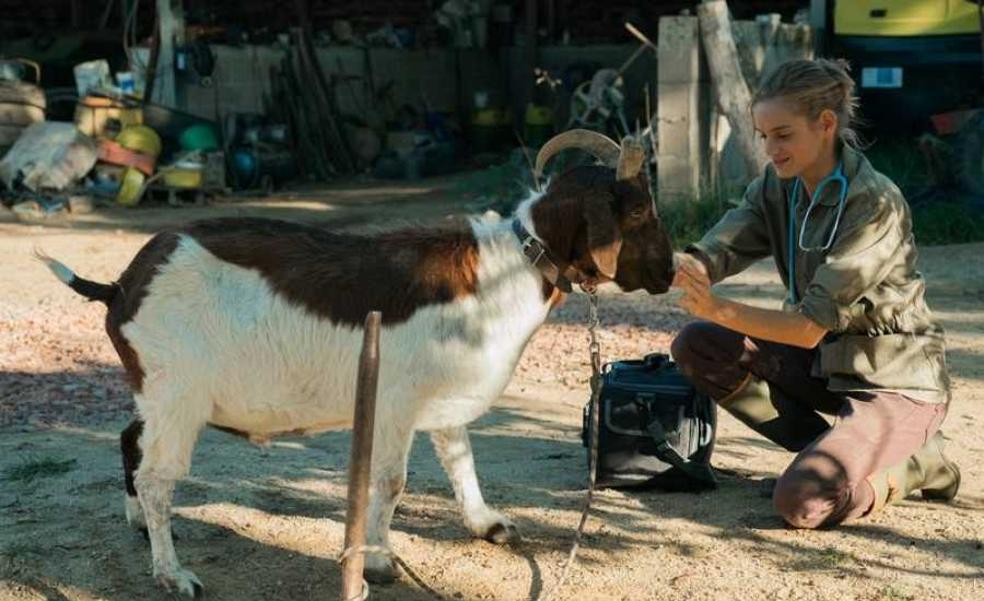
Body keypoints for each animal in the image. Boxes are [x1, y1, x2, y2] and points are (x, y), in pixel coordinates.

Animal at [42, 129, 680, 592]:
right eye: (638, 212)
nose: (671, 271)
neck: (511, 266)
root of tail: (121, 285)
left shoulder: (443, 395)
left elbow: (461, 460)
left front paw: (487, 524)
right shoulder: (395, 403)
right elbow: (392, 481)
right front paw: (377, 564)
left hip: (159, 392)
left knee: (130, 439)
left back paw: (136, 523)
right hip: (178, 396)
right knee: (157, 477)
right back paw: (172, 573)